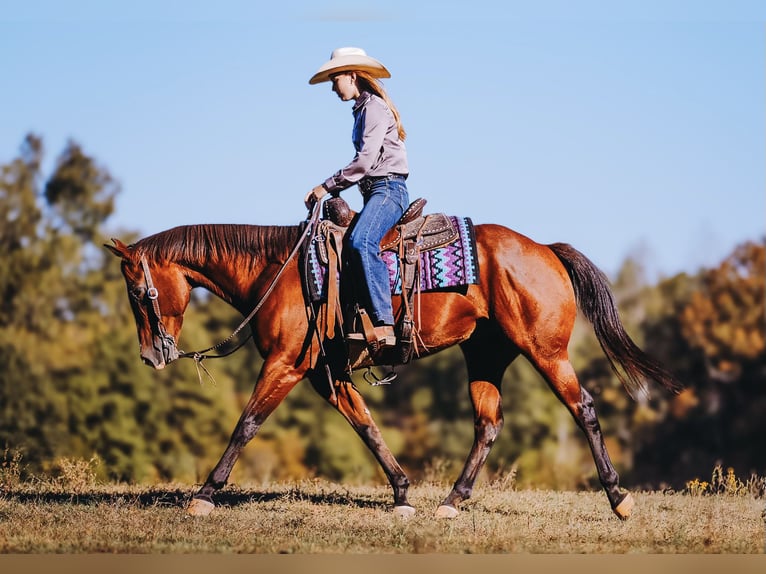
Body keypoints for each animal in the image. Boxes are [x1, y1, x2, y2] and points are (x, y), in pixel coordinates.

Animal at [105, 206, 682, 520]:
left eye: (136, 292)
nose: (151, 355)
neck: (282, 271)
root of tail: (545, 248)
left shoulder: (286, 365)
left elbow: (246, 423)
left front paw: (205, 494)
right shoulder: (326, 375)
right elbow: (366, 426)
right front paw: (403, 494)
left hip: (546, 351)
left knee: (582, 407)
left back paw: (619, 498)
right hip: (486, 356)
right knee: (488, 424)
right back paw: (451, 501)